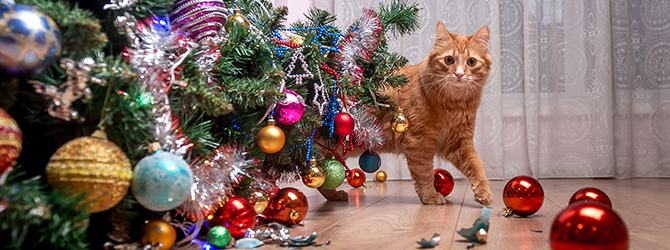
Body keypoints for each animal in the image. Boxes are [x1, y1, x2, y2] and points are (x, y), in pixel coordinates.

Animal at [320, 21, 494, 205]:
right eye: (449, 60)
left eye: (471, 62)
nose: (459, 74)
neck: (453, 106)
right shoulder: (418, 142)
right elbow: (424, 174)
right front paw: (430, 196)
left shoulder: (460, 141)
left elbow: (476, 166)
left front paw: (483, 192)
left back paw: (334, 195)